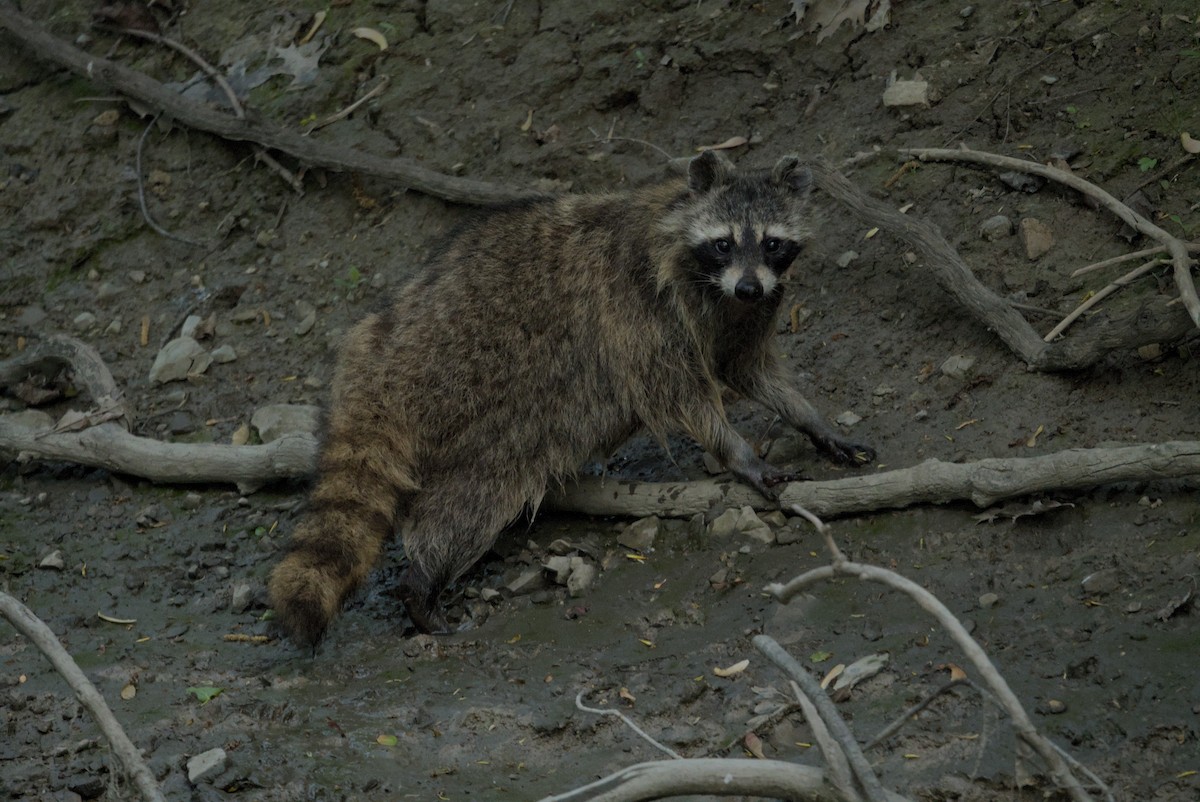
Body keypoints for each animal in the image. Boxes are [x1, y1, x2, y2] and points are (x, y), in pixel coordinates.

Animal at [268, 151, 874, 646]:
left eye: (772, 242)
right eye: (724, 242)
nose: (748, 286)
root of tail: (380, 346)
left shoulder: (746, 310)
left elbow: (746, 368)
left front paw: (812, 420)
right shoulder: (637, 302)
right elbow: (677, 392)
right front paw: (739, 452)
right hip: (469, 389)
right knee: (471, 500)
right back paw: (424, 581)